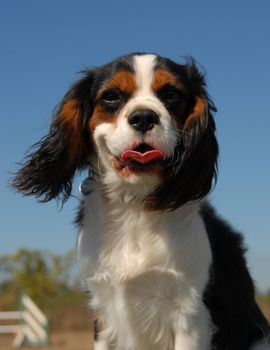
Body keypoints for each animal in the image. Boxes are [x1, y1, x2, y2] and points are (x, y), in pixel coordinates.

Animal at [11, 53, 268, 348]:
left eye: (171, 94)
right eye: (111, 96)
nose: (144, 117)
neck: (134, 203)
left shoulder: (191, 315)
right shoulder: (103, 312)